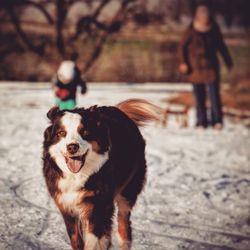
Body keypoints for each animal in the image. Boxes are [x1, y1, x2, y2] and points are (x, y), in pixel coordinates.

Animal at [42, 98, 160, 249]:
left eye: (84, 132)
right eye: (61, 133)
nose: (72, 147)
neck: (76, 176)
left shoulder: (98, 206)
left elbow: (95, 240)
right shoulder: (66, 205)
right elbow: (76, 239)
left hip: (128, 190)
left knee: (123, 221)